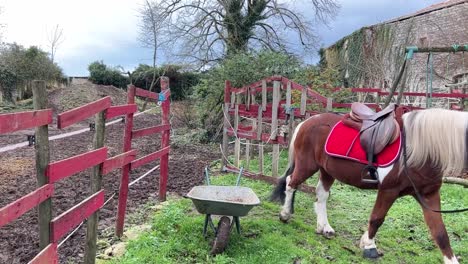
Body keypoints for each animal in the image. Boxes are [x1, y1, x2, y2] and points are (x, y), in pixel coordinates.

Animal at [268, 108, 466, 262]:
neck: (419, 150)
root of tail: (308, 121)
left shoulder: (428, 196)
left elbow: (441, 233)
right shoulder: (388, 190)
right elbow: (377, 218)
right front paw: (369, 246)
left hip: (326, 170)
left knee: (321, 195)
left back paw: (325, 228)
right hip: (307, 165)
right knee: (291, 182)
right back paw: (285, 215)